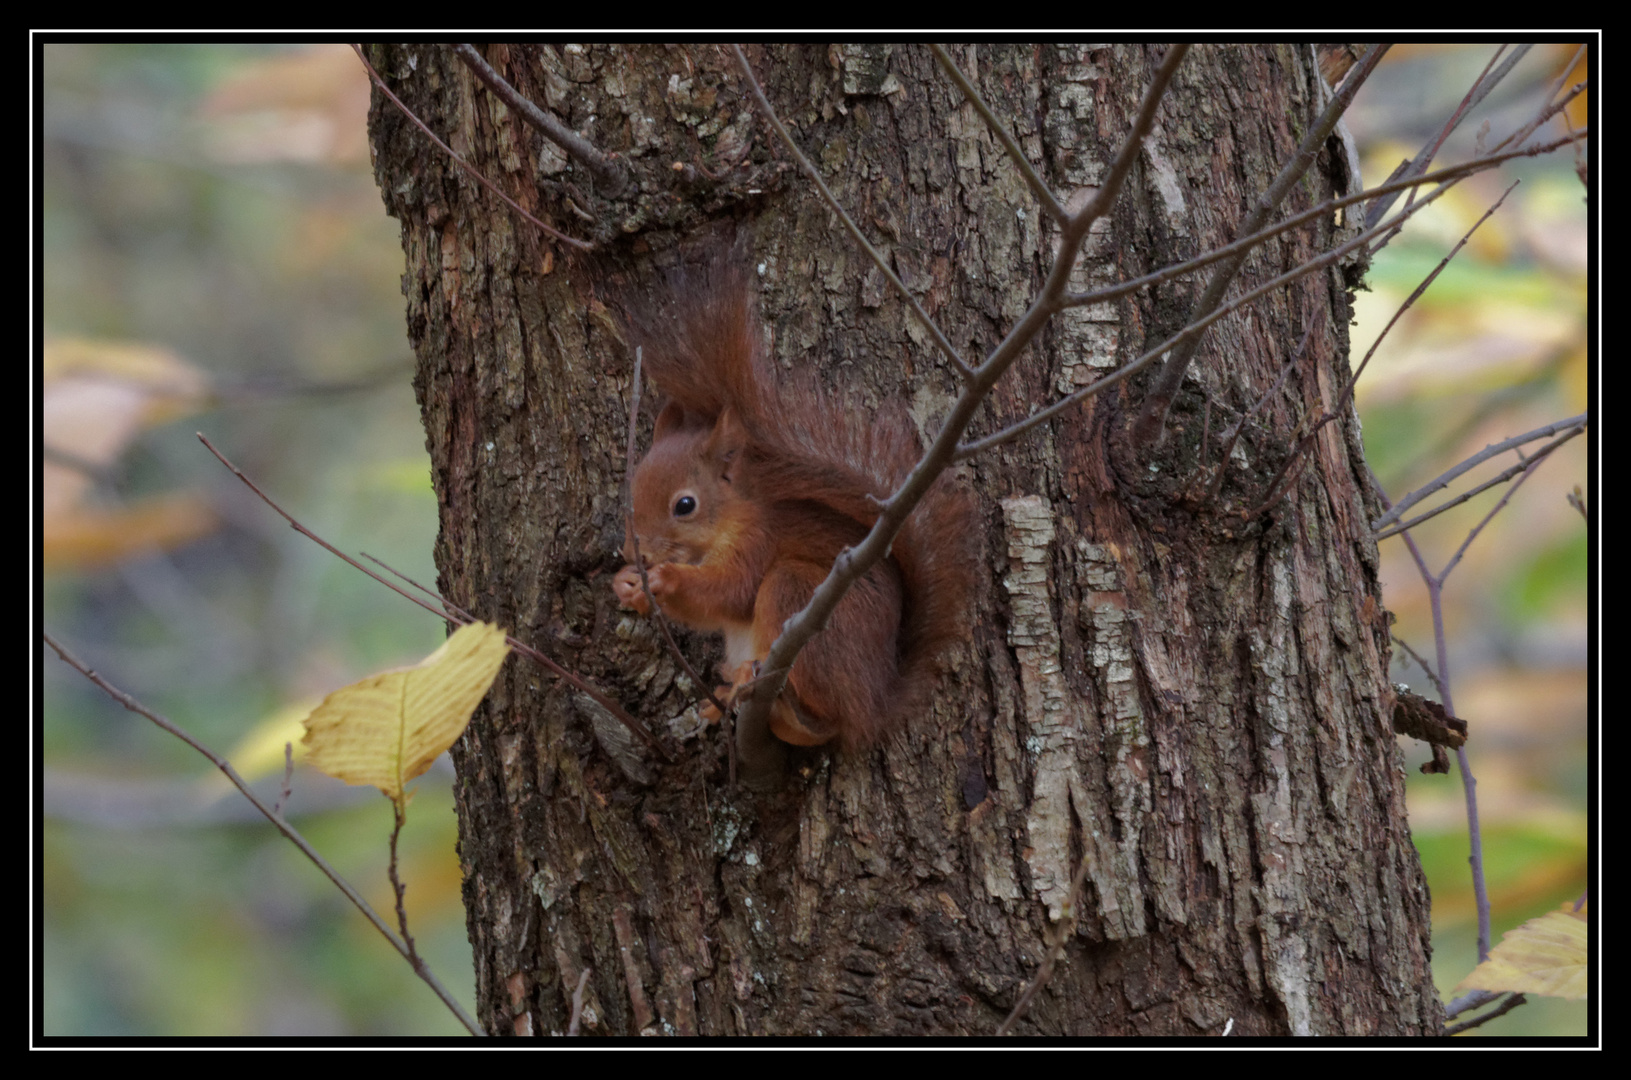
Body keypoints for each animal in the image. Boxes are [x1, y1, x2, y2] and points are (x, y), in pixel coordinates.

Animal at [609, 269, 965, 753]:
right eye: (632, 492)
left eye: (685, 505)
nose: (635, 554)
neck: (725, 523)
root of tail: (875, 705)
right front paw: (628, 586)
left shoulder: (759, 538)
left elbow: (732, 590)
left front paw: (666, 579)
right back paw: (727, 694)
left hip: (801, 597)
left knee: (826, 715)